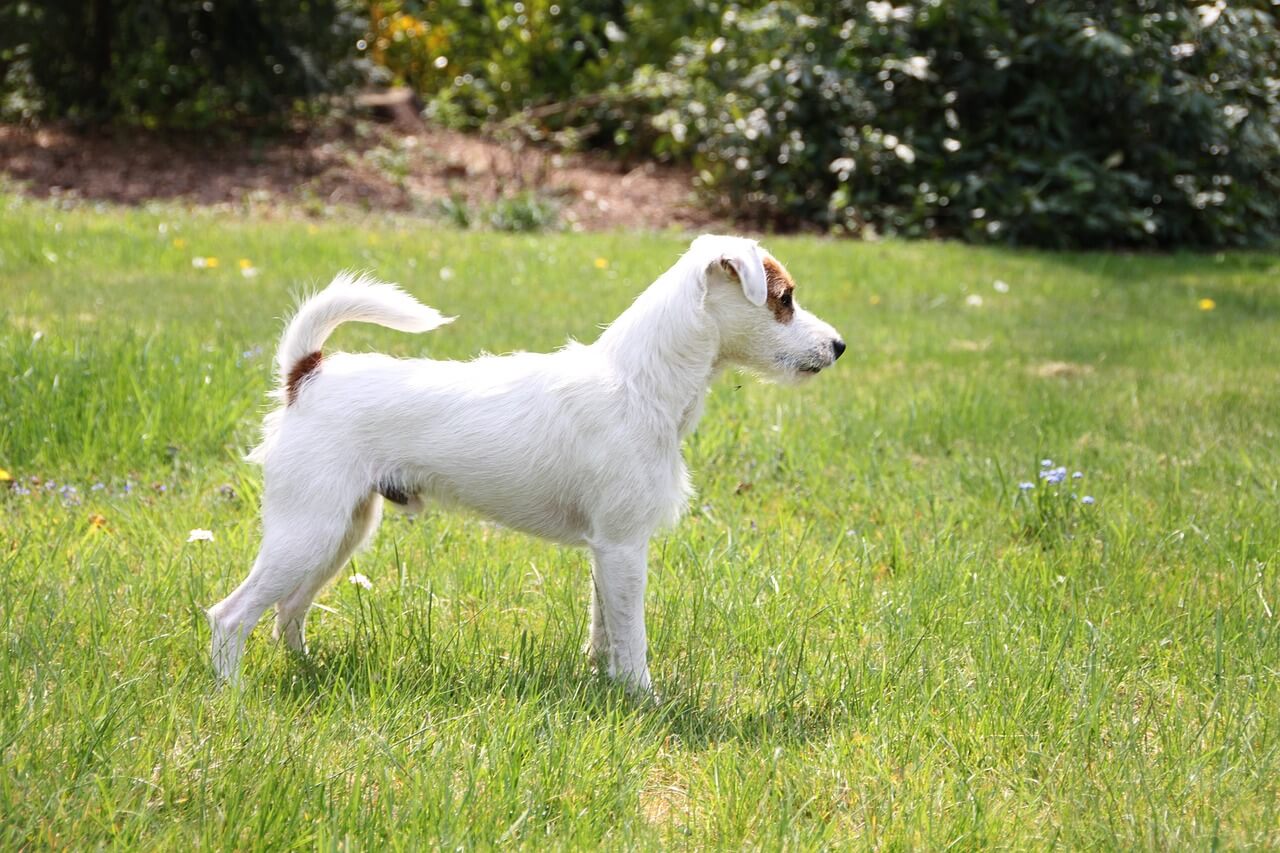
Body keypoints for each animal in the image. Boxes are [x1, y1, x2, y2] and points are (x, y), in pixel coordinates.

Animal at [208, 233, 844, 691]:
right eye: (784, 300)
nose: (839, 346)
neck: (639, 382)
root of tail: (307, 375)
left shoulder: (607, 553)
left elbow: (605, 628)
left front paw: (604, 683)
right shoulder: (623, 546)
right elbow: (632, 636)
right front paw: (643, 698)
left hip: (341, 532)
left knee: (288, 610)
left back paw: (308, 672)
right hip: (308, 532)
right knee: (231, 616)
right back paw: (233, 698)